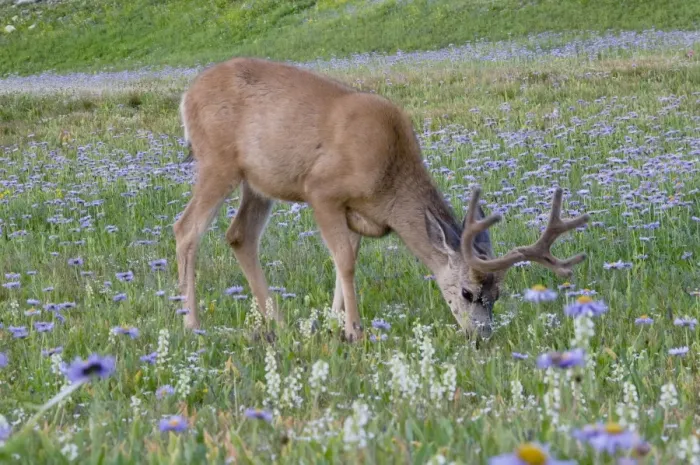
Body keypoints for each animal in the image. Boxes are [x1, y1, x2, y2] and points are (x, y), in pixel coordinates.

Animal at [173, 56, 591, 342]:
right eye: (468, 292)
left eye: (498, 294)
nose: (481, 337)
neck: (389, 177)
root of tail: (187, 94)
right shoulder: (321, 189)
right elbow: (344, 260)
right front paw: (354, 331)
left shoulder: (357, 212)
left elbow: (347, 258)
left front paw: (333, 321)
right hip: (218, 161)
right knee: (186, 228)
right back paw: (192, 323)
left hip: (257, 182)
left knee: (239, 235)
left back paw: (278, 322)